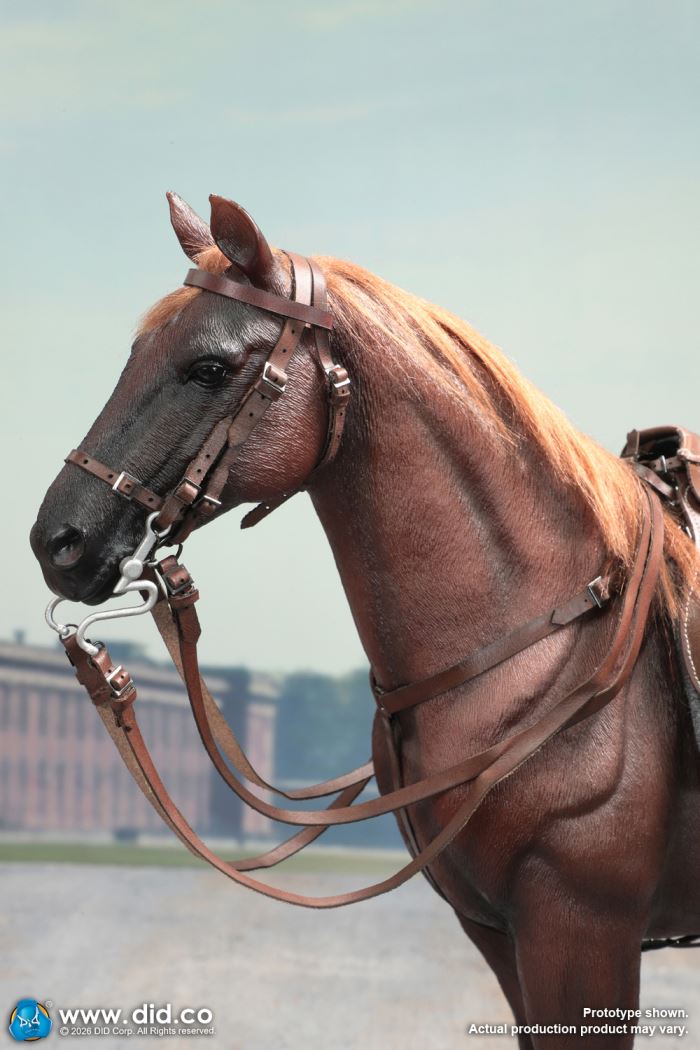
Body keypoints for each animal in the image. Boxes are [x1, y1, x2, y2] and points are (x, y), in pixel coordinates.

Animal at [30, 193, 700, 1049]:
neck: (545, 647)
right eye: (134, 355)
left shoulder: (583, 930)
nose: (58, 539)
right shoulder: (503, 935)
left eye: (208, 367)